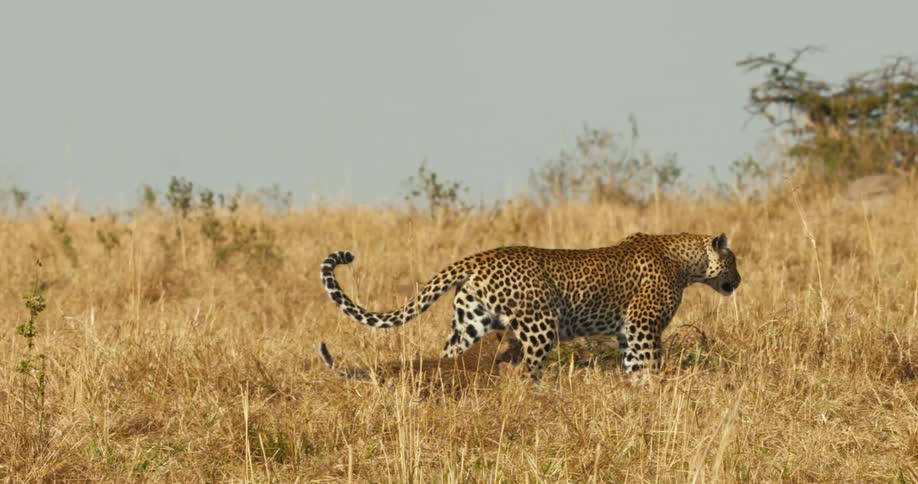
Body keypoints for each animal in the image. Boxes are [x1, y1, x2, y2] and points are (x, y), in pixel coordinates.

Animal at [318, 232, 740, 382]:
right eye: (733, 261)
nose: (738, 280)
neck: (686, 261)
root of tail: (478, 258)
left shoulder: (629, 332)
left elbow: (635, 365)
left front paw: (638, 390)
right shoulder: (642, 326)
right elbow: (649, 361)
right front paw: (654, 390)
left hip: (470, 322)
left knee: (450, 357)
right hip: (542, 324)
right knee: (526, 371)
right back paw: (539, 397)